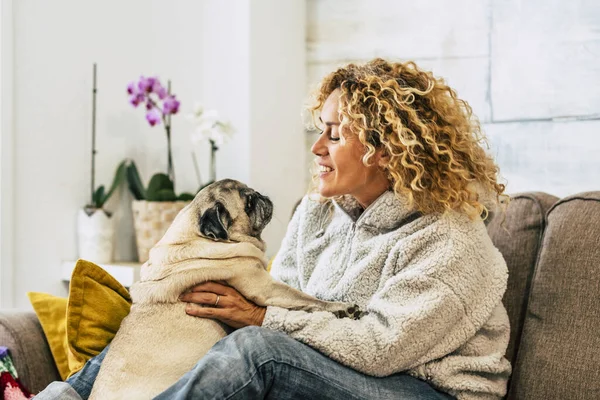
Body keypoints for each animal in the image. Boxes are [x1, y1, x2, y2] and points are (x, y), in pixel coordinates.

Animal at [89, 180, 360, 398]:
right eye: (248, 201)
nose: (262, 196)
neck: (194, 237)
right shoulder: (265, 286)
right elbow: (306, 299)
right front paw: (342, 308)